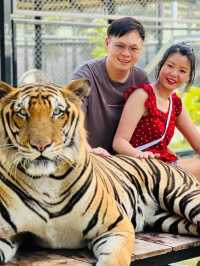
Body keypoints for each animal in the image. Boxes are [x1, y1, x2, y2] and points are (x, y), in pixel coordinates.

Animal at [0, 79, 200, 266]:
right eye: (22, 113)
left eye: (57, 112)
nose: (40, 146)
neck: (46, 181)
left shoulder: (115, 226)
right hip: (168, 220)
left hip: (184, 196)